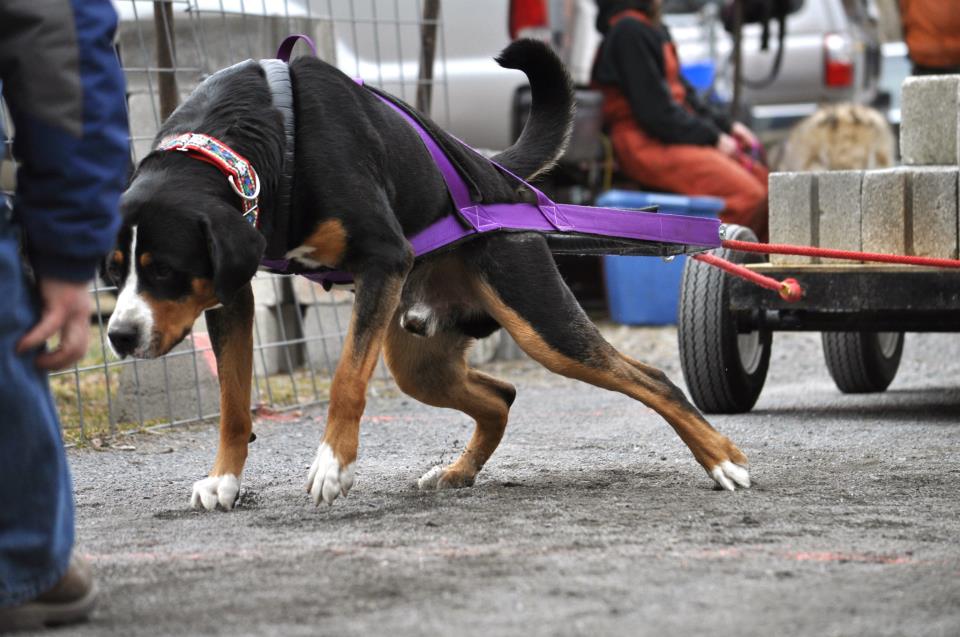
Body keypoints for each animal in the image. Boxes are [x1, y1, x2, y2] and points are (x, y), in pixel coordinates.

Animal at [105, 39, 752, 510]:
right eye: (114, 274)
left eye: (165, 270)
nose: (118, 336)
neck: (258, 142)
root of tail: (494, 176)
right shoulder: (230, 296)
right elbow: (234, 402)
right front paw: (225, 479)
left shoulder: (383, 259)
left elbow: (346, 381)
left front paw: (332, 464)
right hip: (418, 358)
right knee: (500, 397)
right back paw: (458, 472)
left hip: (542, 325)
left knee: (652, 379)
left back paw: (723, 458)